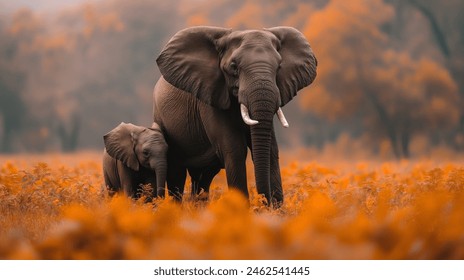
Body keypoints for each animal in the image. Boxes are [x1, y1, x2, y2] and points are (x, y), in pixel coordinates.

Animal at [152, 26, 316, 206]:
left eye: (279, 66)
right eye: (233, 66)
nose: (264, 203)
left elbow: (272, 149)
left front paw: (276, 210)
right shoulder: (210, 97)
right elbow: (234, 148)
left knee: (203, 177)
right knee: (177, 174)